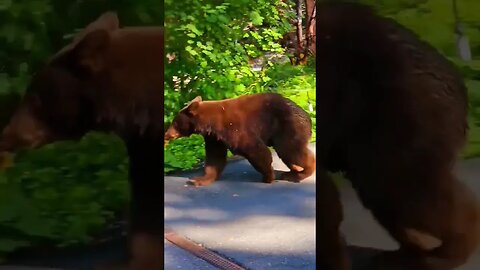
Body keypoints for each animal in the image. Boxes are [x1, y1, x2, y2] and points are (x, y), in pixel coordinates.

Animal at [164, 92, 316, 186]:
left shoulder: (236, 129)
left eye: (175, 123)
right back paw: (294, 171)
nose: (167, 134)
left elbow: (256, 150)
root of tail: (307, 116)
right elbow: (215, 158)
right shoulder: (214, 138)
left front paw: (268, 176)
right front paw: (200, 179)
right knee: (289, 153)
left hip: (287, 128)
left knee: (290, 150)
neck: (210, 122)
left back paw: (301, 173)